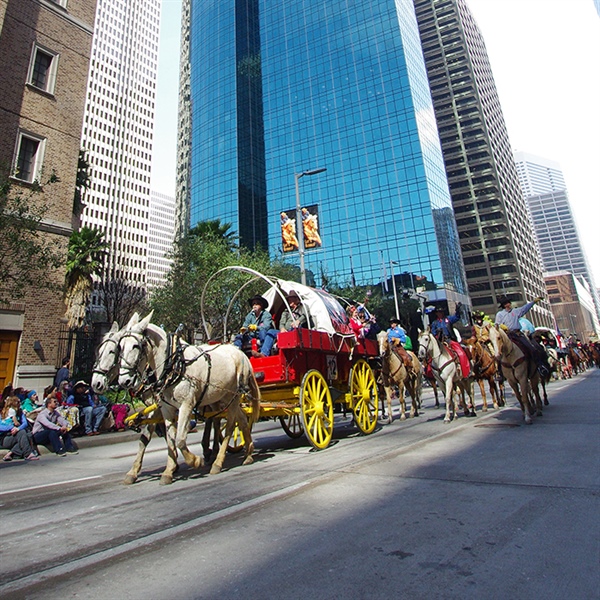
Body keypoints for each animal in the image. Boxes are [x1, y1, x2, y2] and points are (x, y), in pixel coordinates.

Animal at [118, 312, 260, 486]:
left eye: (136, 346)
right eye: (120, 347)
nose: (124, 381)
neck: (175, 365)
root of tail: (241, 354)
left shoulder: (186, 405)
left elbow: (180, 439)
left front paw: (195, 461)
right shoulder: (166, 408)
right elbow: (171, 439)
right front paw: (168, 472)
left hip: (233, 397)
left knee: (230, 425)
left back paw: (218, 462)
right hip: (226, 398)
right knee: (242, 420)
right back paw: (248, 453)